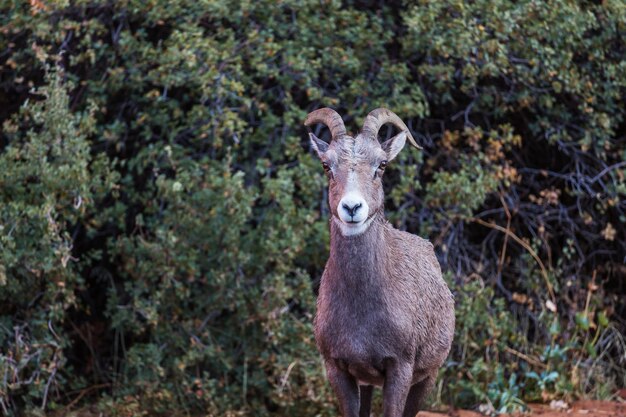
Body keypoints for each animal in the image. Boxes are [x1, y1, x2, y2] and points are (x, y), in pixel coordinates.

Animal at [304, 108, 454, 416]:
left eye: (381, 165)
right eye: (326, 165)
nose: (352, 207)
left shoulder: (400, 368)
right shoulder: (338, 370)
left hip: (428, 377)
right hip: (367, 383)